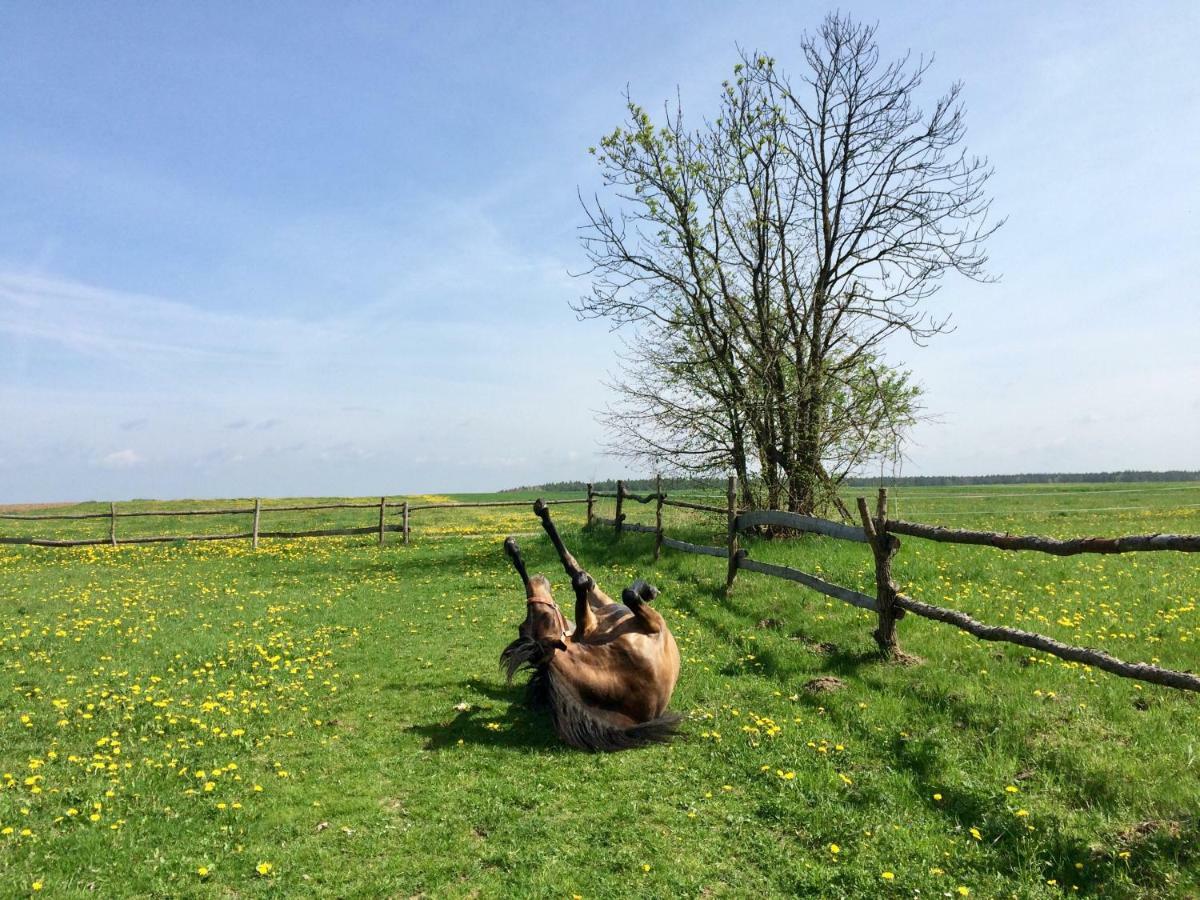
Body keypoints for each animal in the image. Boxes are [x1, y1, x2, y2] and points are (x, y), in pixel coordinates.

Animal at [499, 501, 686, 753]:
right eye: (545, 618)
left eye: (530, 622)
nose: (540, 580)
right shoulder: (654, 624)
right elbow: (620, 591)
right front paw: (645, 590)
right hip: (602, 606)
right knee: (581, 572)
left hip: (596, 609)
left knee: (575, 569)